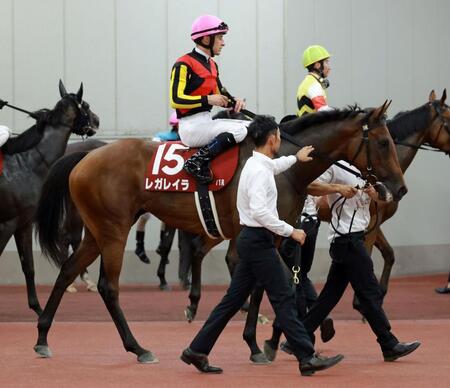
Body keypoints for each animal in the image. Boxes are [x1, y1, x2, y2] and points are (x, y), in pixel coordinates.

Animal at [0, 81, 98, 316]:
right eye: (86, 105)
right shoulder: (7, 224)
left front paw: (37, 307)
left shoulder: (23, 224)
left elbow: (29, 267)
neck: (26, 162)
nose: (97, 120)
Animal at [34, 101, 408, 362]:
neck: (281, 164)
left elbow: (262, 286)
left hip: (97, 232)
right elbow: (268, 284)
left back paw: (42, 337)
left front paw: (265, 341)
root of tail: (86, 156)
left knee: (67, 271)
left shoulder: (274, 234)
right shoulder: (260, 232)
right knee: (108, 287)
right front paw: (267, 341)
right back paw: (138, 348)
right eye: (383, 142)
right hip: (113, 231)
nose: (400, 188)